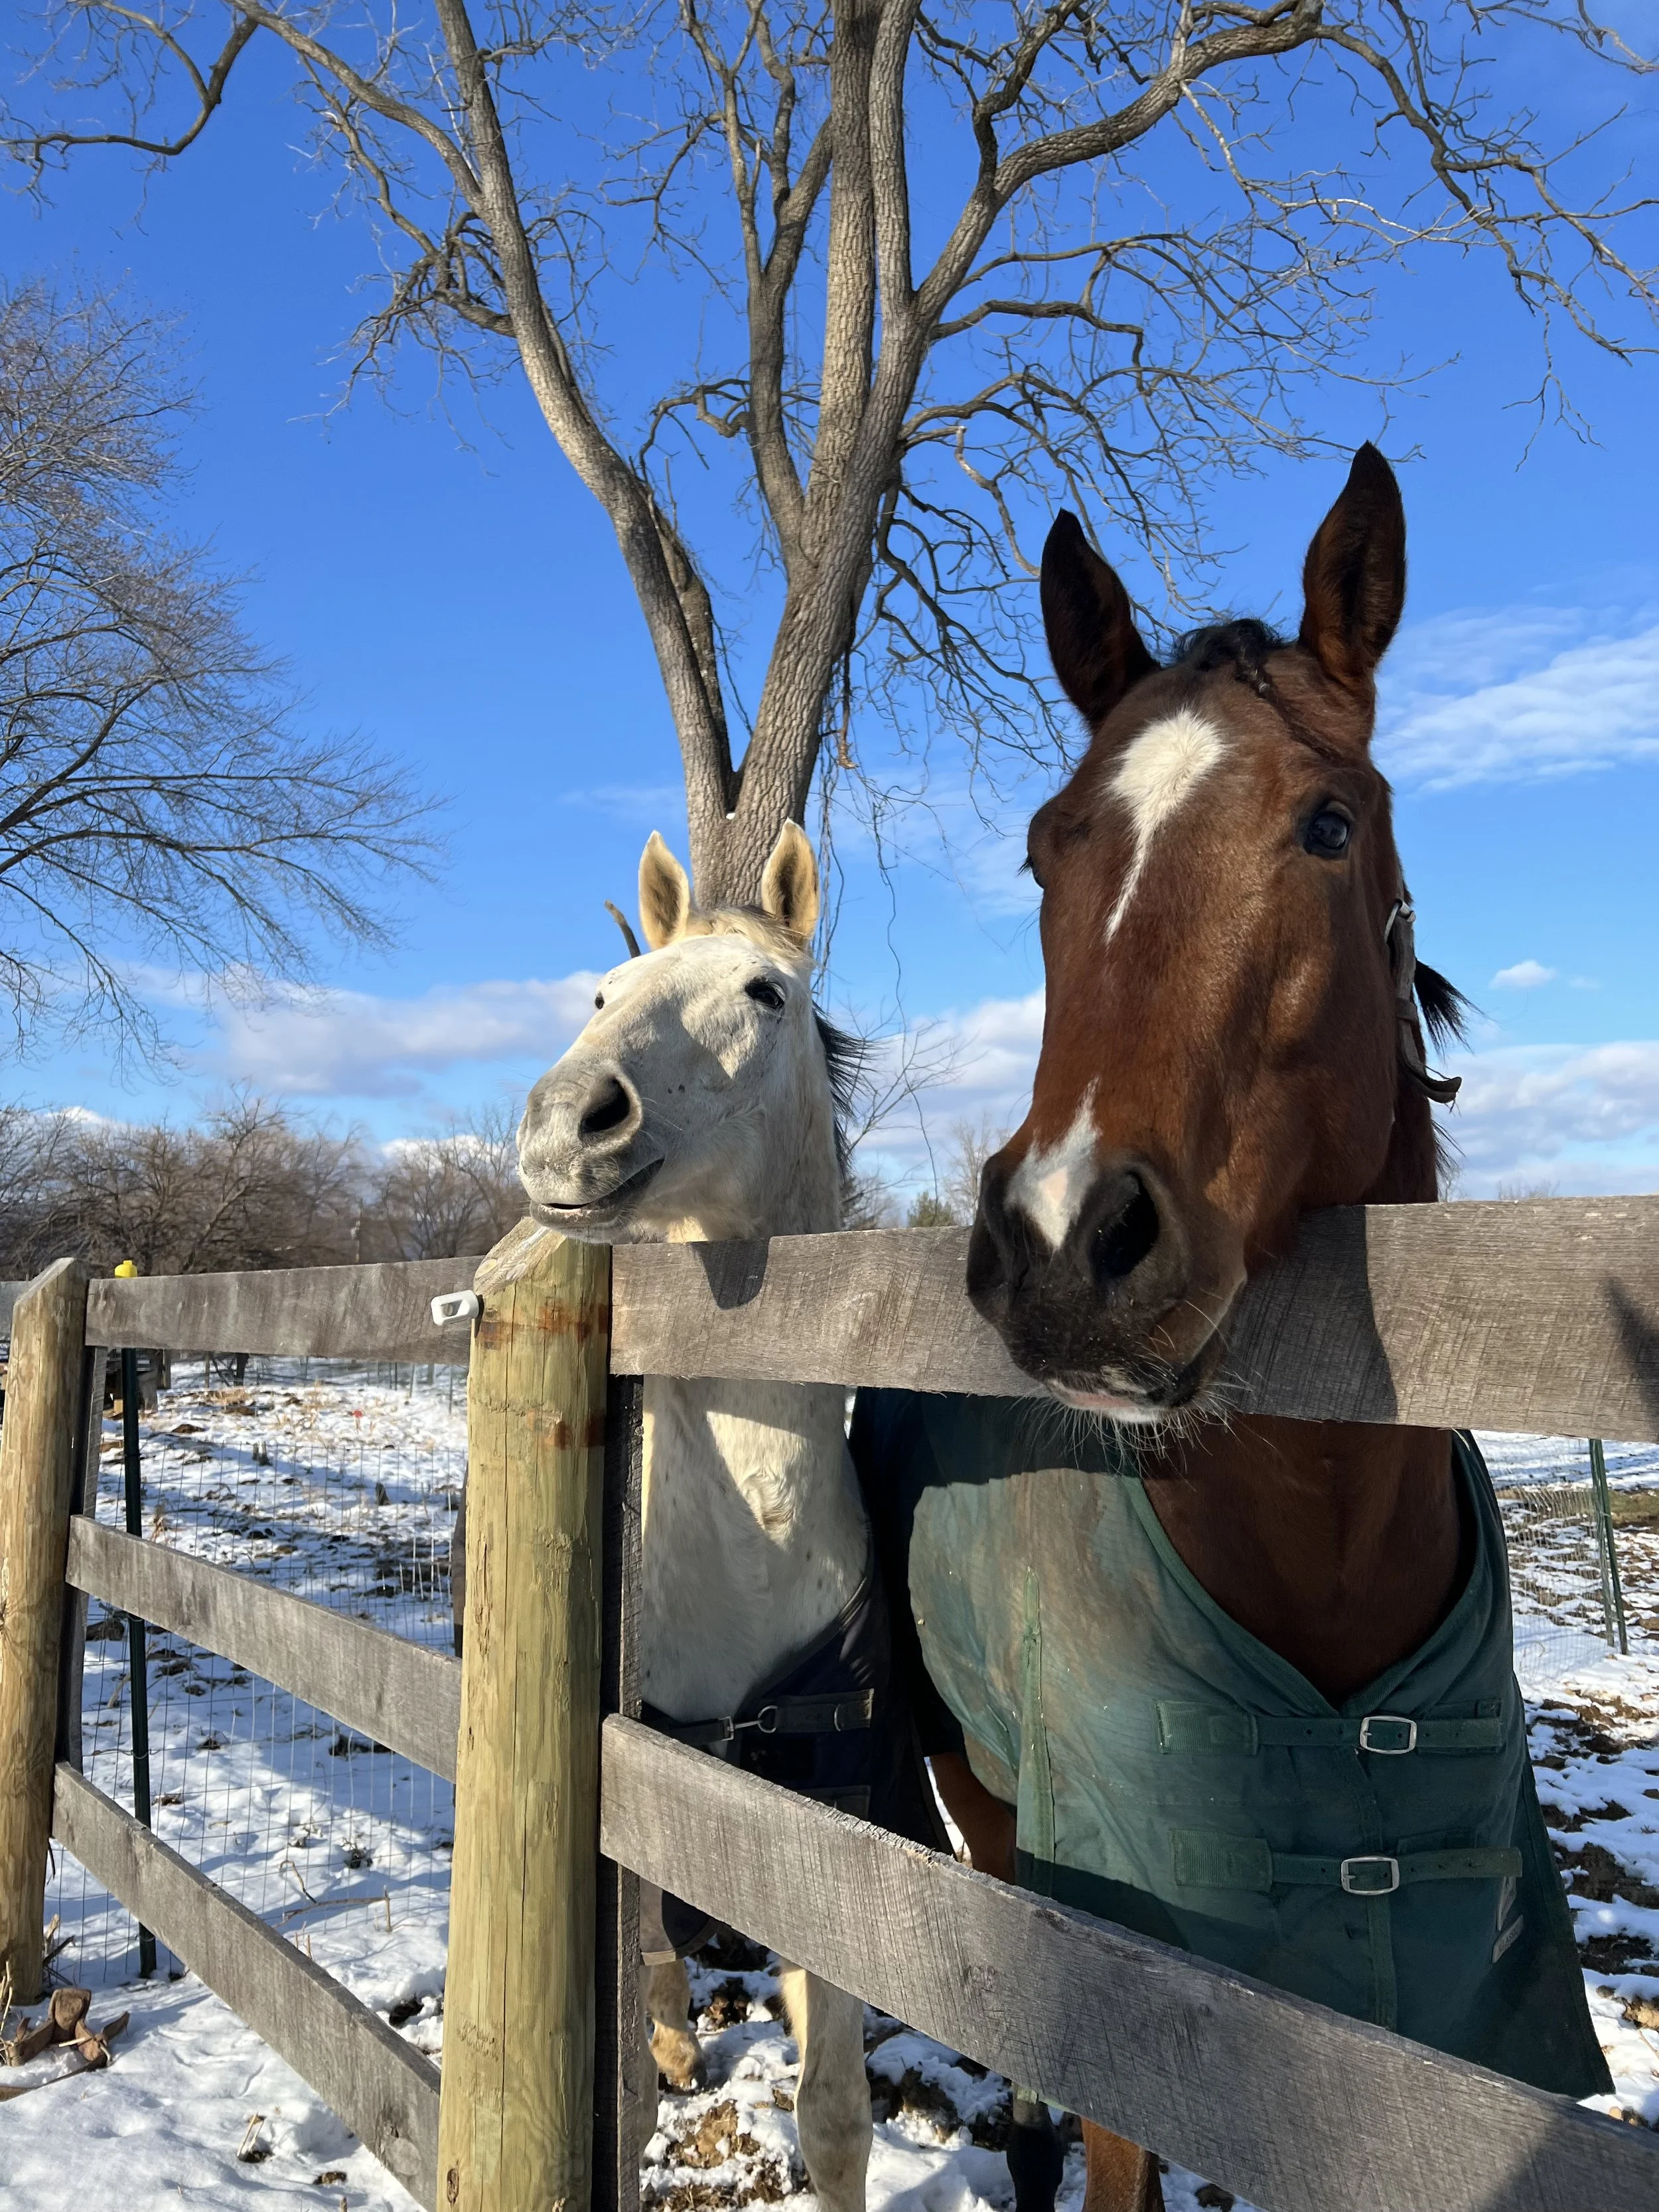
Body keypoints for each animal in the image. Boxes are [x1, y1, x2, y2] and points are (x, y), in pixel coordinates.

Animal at [862, 446, 1608, 2212]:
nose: (1062, 1245)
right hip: (981, 1805)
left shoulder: (1422, 2037)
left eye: (1328, 822)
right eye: (1045, 852)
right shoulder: (1142, 1999)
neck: (1320, 1554)